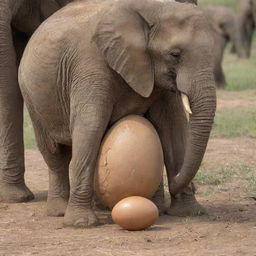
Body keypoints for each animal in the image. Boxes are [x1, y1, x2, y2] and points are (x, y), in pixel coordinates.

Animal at [19, 0, 217, 228]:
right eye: (174, 54)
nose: (192, 186)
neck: (153, 8)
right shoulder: (90, 64)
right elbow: (90, 125)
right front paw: (82, 223)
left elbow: (173, 127)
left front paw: (189, 212)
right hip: (32, 97)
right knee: (54, 152)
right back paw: (60, 211)